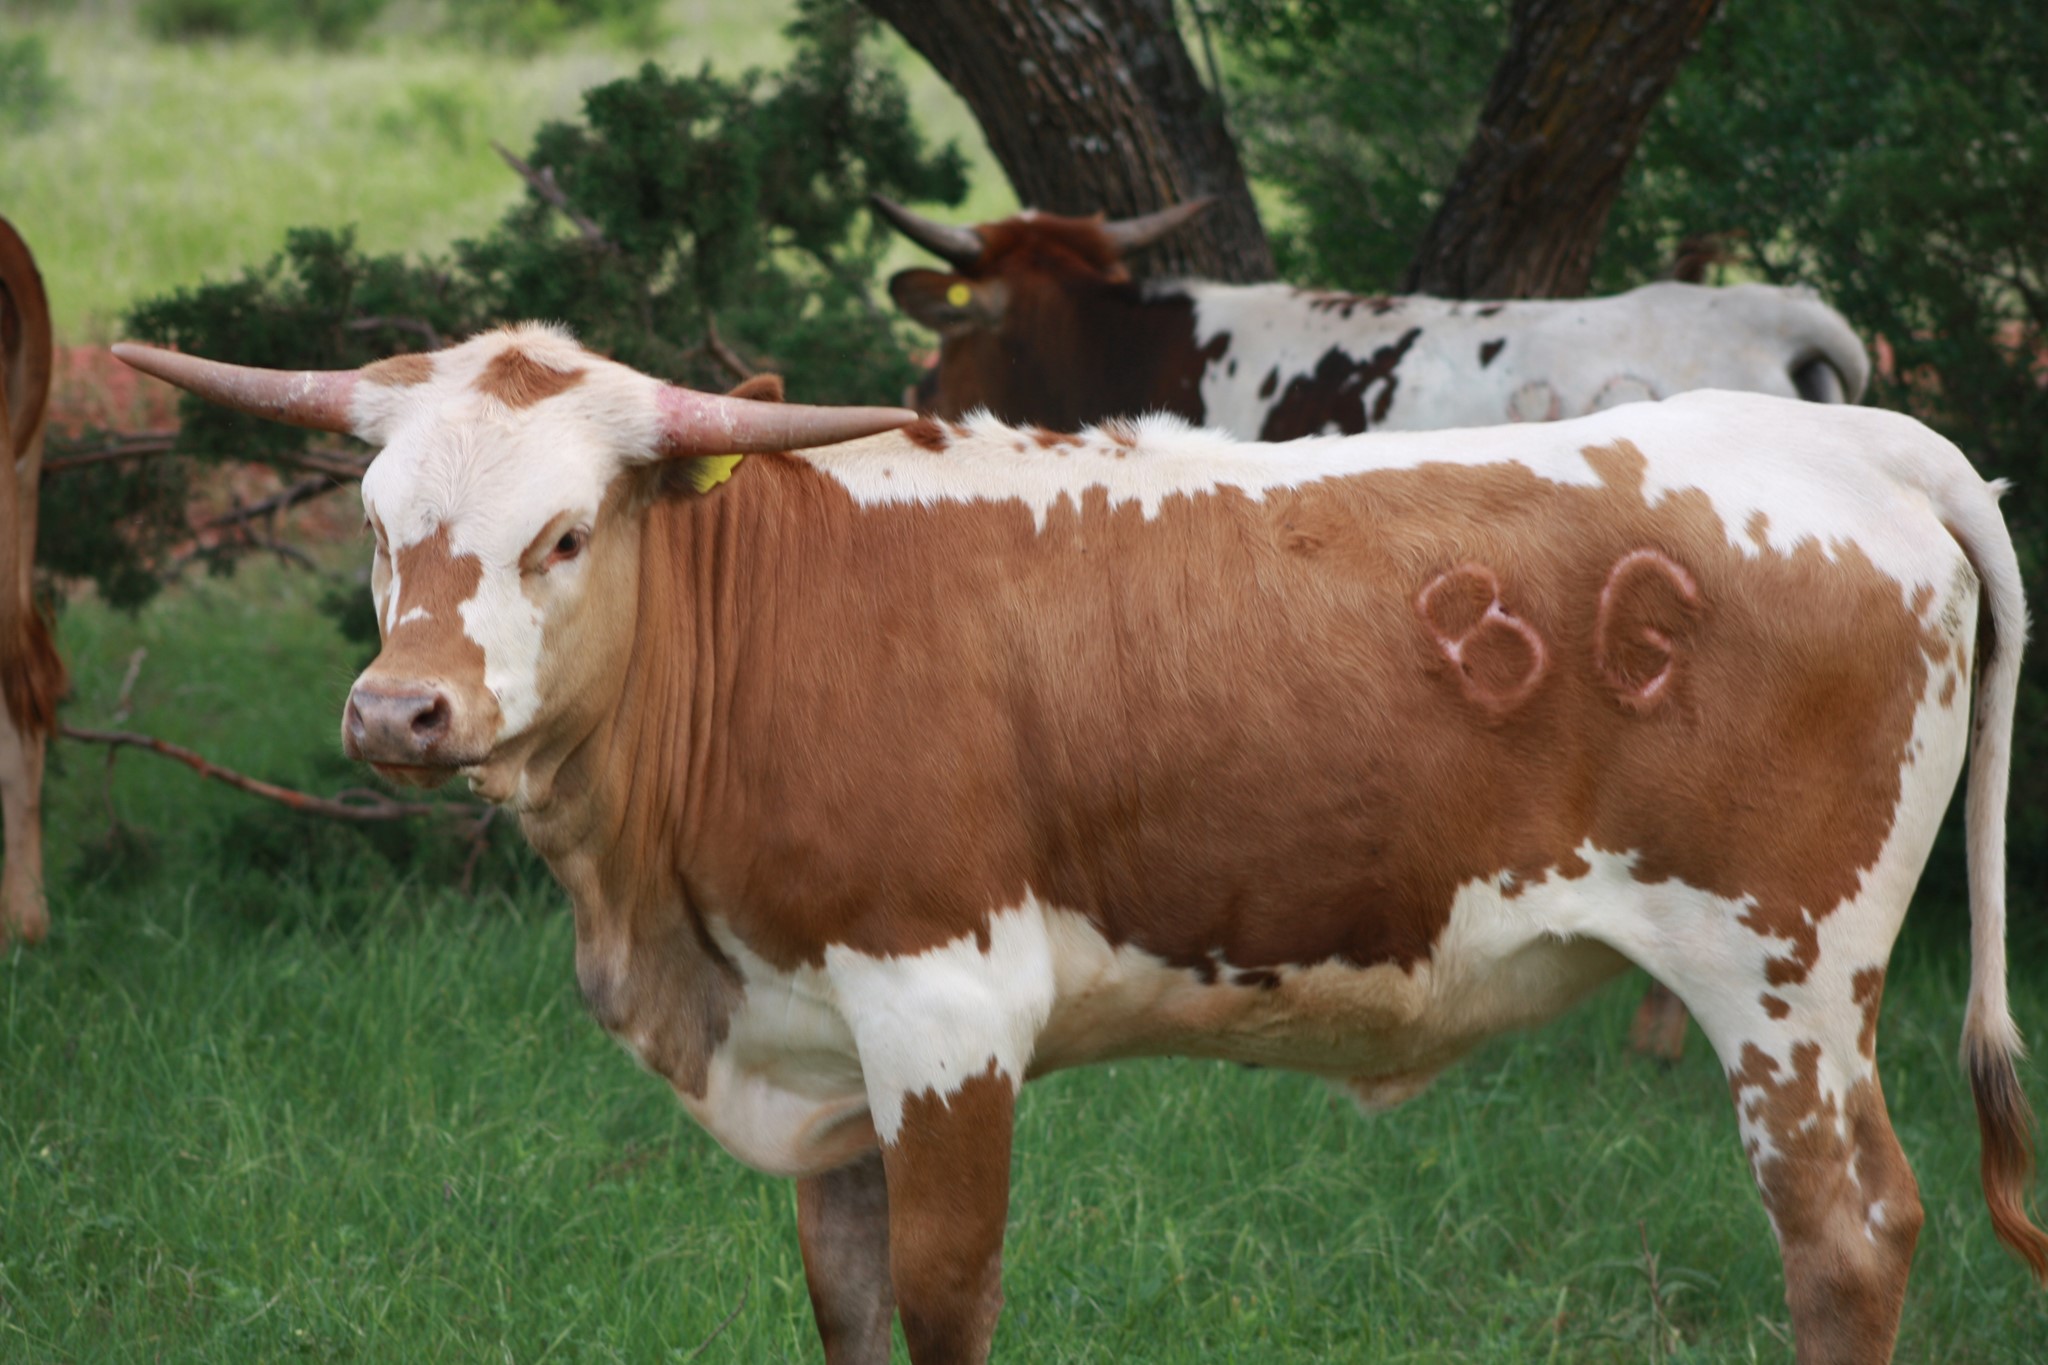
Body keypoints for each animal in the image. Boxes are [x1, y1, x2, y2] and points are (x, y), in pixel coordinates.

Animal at [115, 325, 2045, 1365]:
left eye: (566, 535)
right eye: (380, 525)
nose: (399, 715)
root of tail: (1847, 436)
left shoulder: (942, 1011)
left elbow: (945, 1296)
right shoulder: (820, 1052)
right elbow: (847, 1301)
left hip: (1783, 974)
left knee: (1848, 1233)